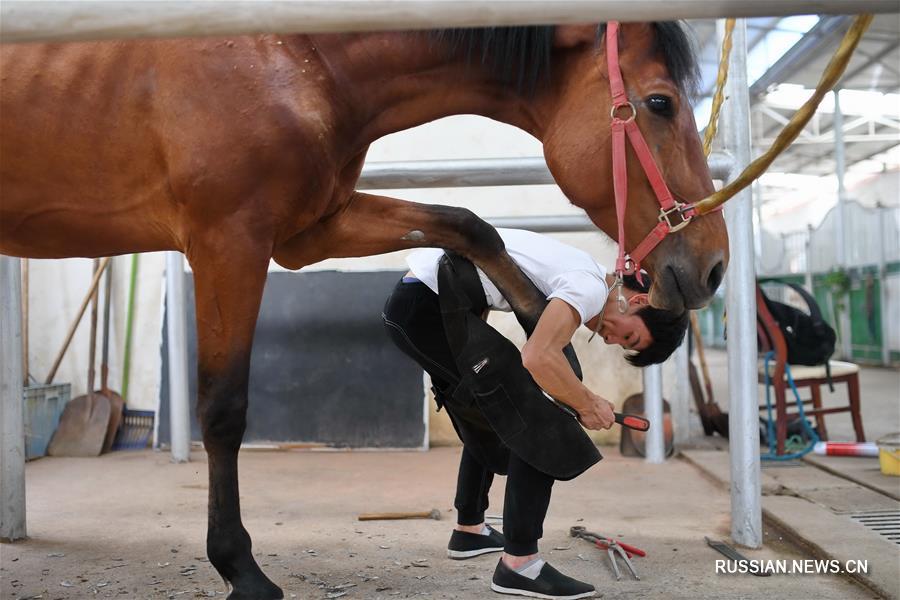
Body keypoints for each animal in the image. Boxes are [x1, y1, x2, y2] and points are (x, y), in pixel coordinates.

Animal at [0, 21, 728, 596]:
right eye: (660, 102)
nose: (715, 265)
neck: (292, 59)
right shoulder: (229, 241)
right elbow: (224, 409)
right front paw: (240, 568)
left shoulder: (312, 232)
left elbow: (468, 223)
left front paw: (533, 308)